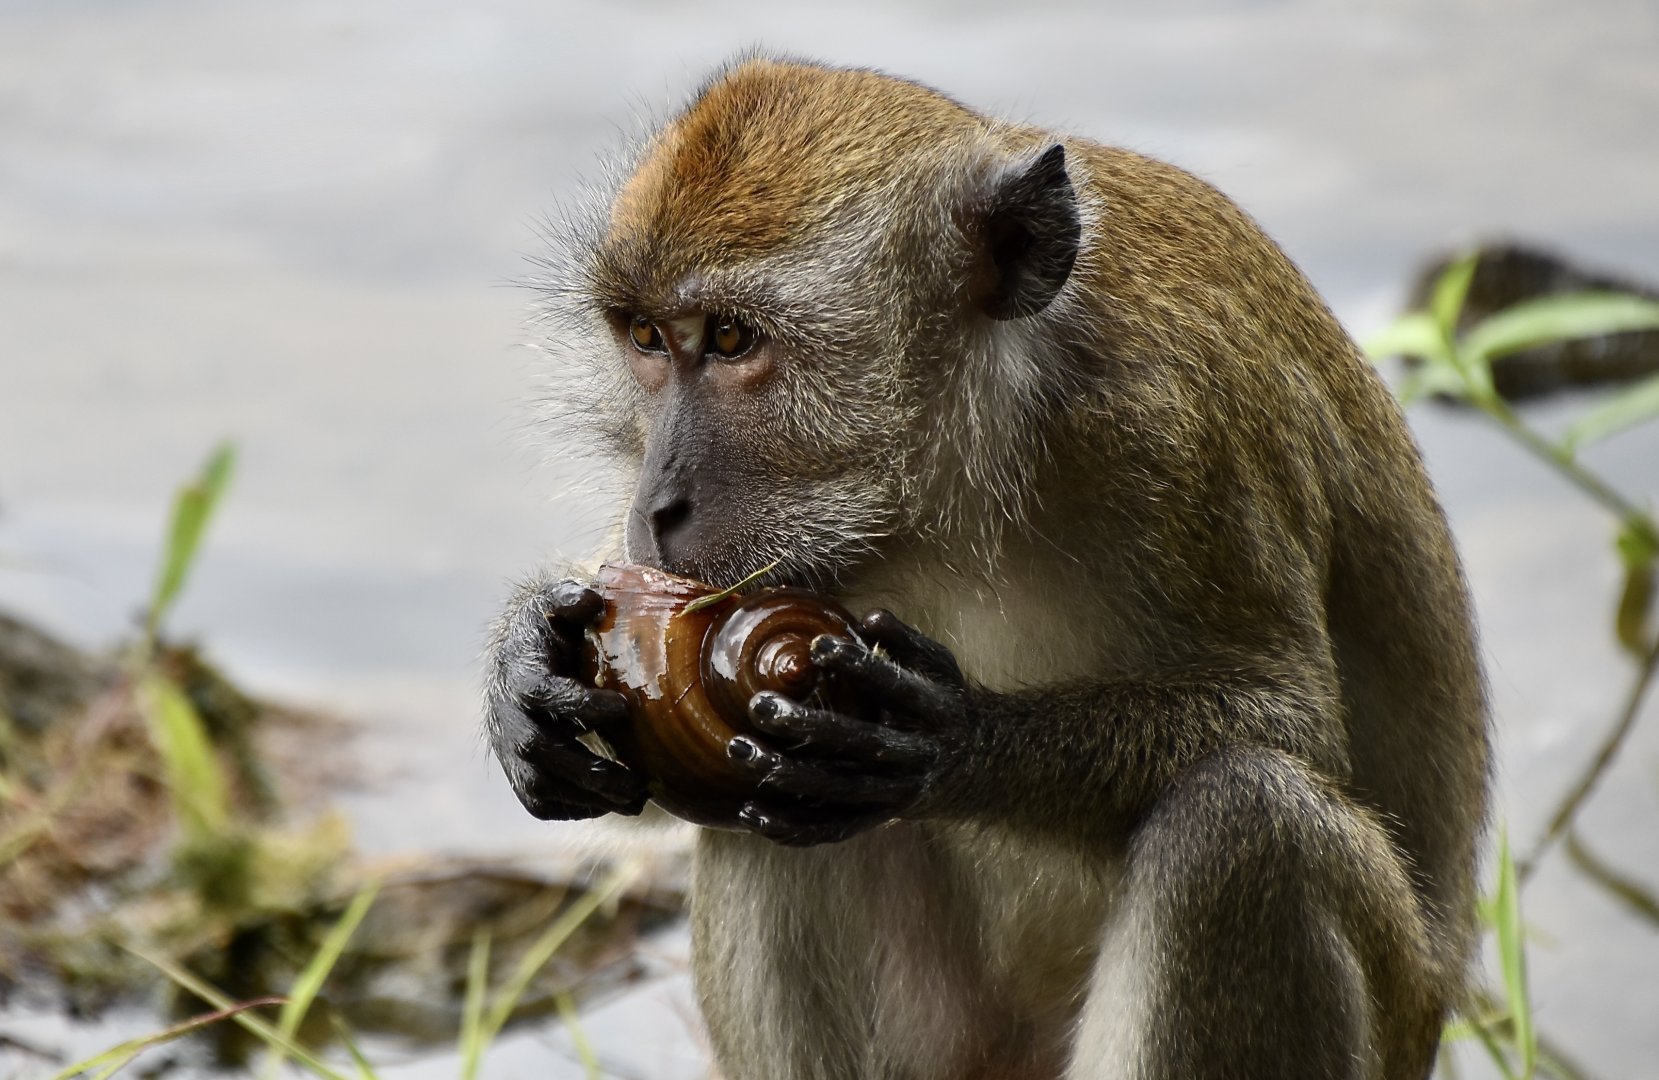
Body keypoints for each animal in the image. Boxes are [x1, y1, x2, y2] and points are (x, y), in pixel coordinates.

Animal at [484, 56, 1490, 1080]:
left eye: (729, 340)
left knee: (1247, 824)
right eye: (646, 338)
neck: (964, 460)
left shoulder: (1183, 426)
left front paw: (957, 740)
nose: (654, 508)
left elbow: (1293, 716)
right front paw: (528, 668)